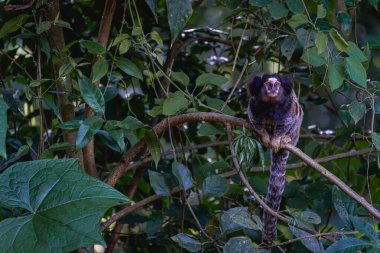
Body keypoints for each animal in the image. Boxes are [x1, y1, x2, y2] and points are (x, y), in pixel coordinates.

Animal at [248, 74, 304, 242]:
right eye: (267, 84)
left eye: (277, 84)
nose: (272, 88)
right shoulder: (254, 107)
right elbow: (257, 123)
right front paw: (265, 137)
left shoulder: (288, 110)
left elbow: (288, 122)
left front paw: (277, 139)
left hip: (295, 134)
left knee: (298, 117)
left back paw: (286, 140)